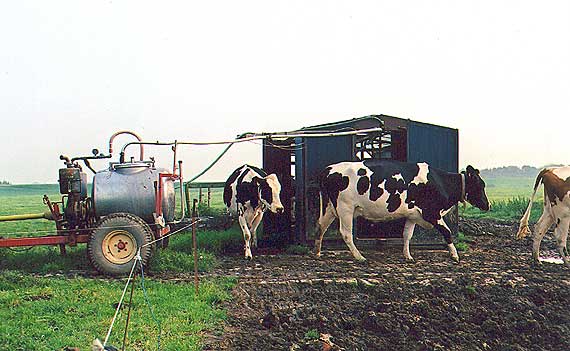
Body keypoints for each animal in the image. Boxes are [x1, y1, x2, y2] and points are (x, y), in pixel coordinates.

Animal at [316, 161, 488, 262]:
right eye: (480, 185)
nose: (487, 205)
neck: (439, 182)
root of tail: (327, 169)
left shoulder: (412, 214)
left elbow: (407, 235)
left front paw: (408, 255)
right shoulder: (431, 212)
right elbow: (447, 232)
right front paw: (455, 255)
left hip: (330, 208)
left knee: (321, 226)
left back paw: (317, 251)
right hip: (345, 208)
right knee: (346, 233)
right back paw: (359, 257)